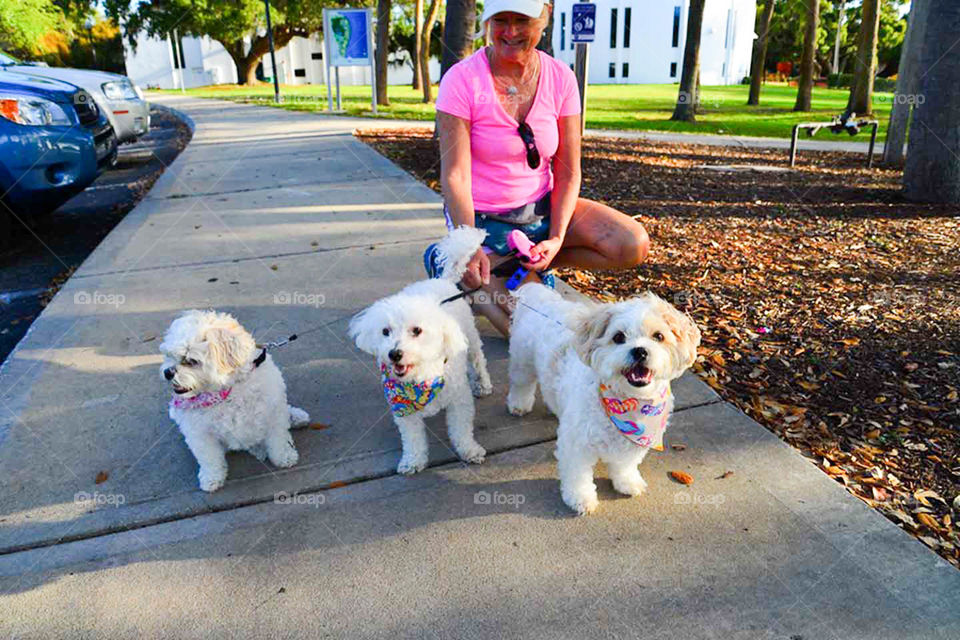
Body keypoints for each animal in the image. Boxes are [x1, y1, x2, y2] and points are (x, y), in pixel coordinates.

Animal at [158, 312, 308, 492]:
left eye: (191, 360)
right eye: (169, 356)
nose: (167, 372)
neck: (225, 392)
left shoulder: (273, 413)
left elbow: (278, 439)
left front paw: (284, 456)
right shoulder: (200, 434)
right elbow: (209, 458)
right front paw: (212, 477)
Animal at [346, 228, 496, 472]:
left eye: (417, 330)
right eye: (385, 331)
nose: (394, 354)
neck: (421, 379)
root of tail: (441, 281)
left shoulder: (459, 401)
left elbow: (461, 430)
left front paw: (469, 450)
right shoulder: (405, 413)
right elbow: (413, 439)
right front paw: (413, 461)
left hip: (471, 338)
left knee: (477, 360)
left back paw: (482, 384)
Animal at [506, 284, 700, 516]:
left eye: (659, 336)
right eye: (618, 337)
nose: (640, 351)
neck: (626, 402)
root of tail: (540, 294)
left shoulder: (633, 443)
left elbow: (625, 464)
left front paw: (627, 482)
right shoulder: (576, 444)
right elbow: (578, 474)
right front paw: (580, 498)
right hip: (522, 361)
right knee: (521, 383)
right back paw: (519, 403)